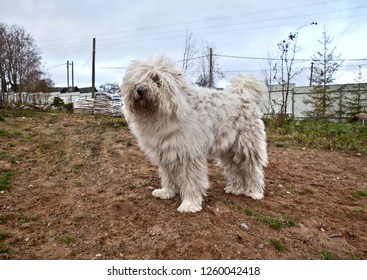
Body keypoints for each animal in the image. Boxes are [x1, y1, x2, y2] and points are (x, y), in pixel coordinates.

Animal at [122, 55, 268, 213]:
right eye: (138, 78)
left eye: (156, 79)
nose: (140, 90)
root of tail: (244, 97)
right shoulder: (166, 151)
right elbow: (168, 176)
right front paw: (166, 192)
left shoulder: (188, 154)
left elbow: (190, 181)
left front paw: (189, 204)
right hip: (229, 150)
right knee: (235, 170)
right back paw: (236, 189)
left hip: (246, 147)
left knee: (253, 170)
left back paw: (255, 192)